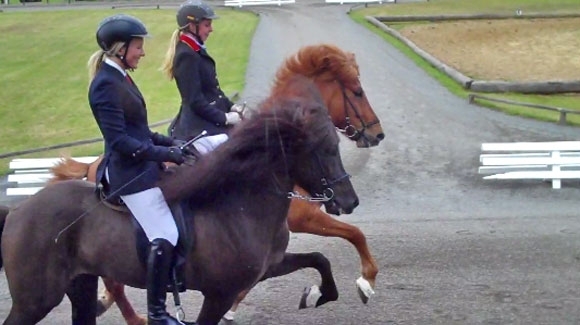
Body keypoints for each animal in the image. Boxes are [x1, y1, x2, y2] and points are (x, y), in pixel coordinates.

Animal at [49, 43, 382, 324]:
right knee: (115, 284)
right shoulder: (305, 217)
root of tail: (94, 165)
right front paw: (366, 281)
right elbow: (354, 234)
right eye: (357, 91)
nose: (377, 134)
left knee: (110, 282)